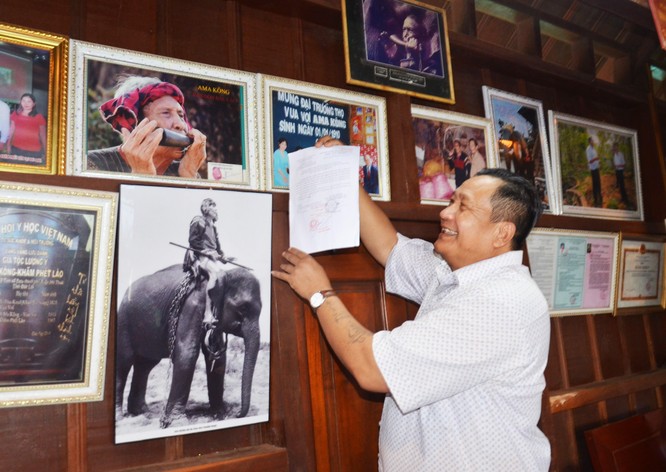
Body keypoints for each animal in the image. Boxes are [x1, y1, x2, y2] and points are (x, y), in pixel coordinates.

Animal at [114, 264, 260, 430]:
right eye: (243, 308)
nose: (237, 414)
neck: (221, 273)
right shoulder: (190, 306)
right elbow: (187, 353)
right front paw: (178, 422)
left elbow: (217, 356)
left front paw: (220, 412)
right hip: (124, 321)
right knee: (125, 362)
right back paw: (120, 417)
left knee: (145, 366)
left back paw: (141, 412)